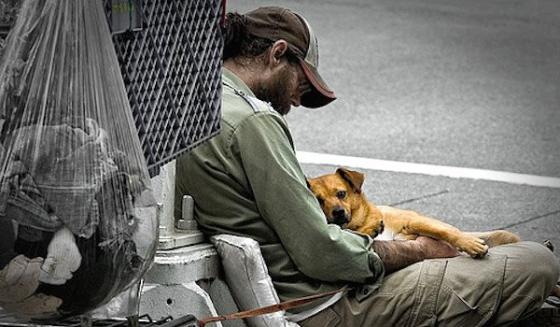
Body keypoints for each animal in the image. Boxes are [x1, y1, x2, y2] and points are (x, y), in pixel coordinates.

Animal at [306, 168, 520, 258]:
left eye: (341, 193)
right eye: (319, 200)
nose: (338, 212)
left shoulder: (413, 221)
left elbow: (445, 232)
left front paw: (469, 244)